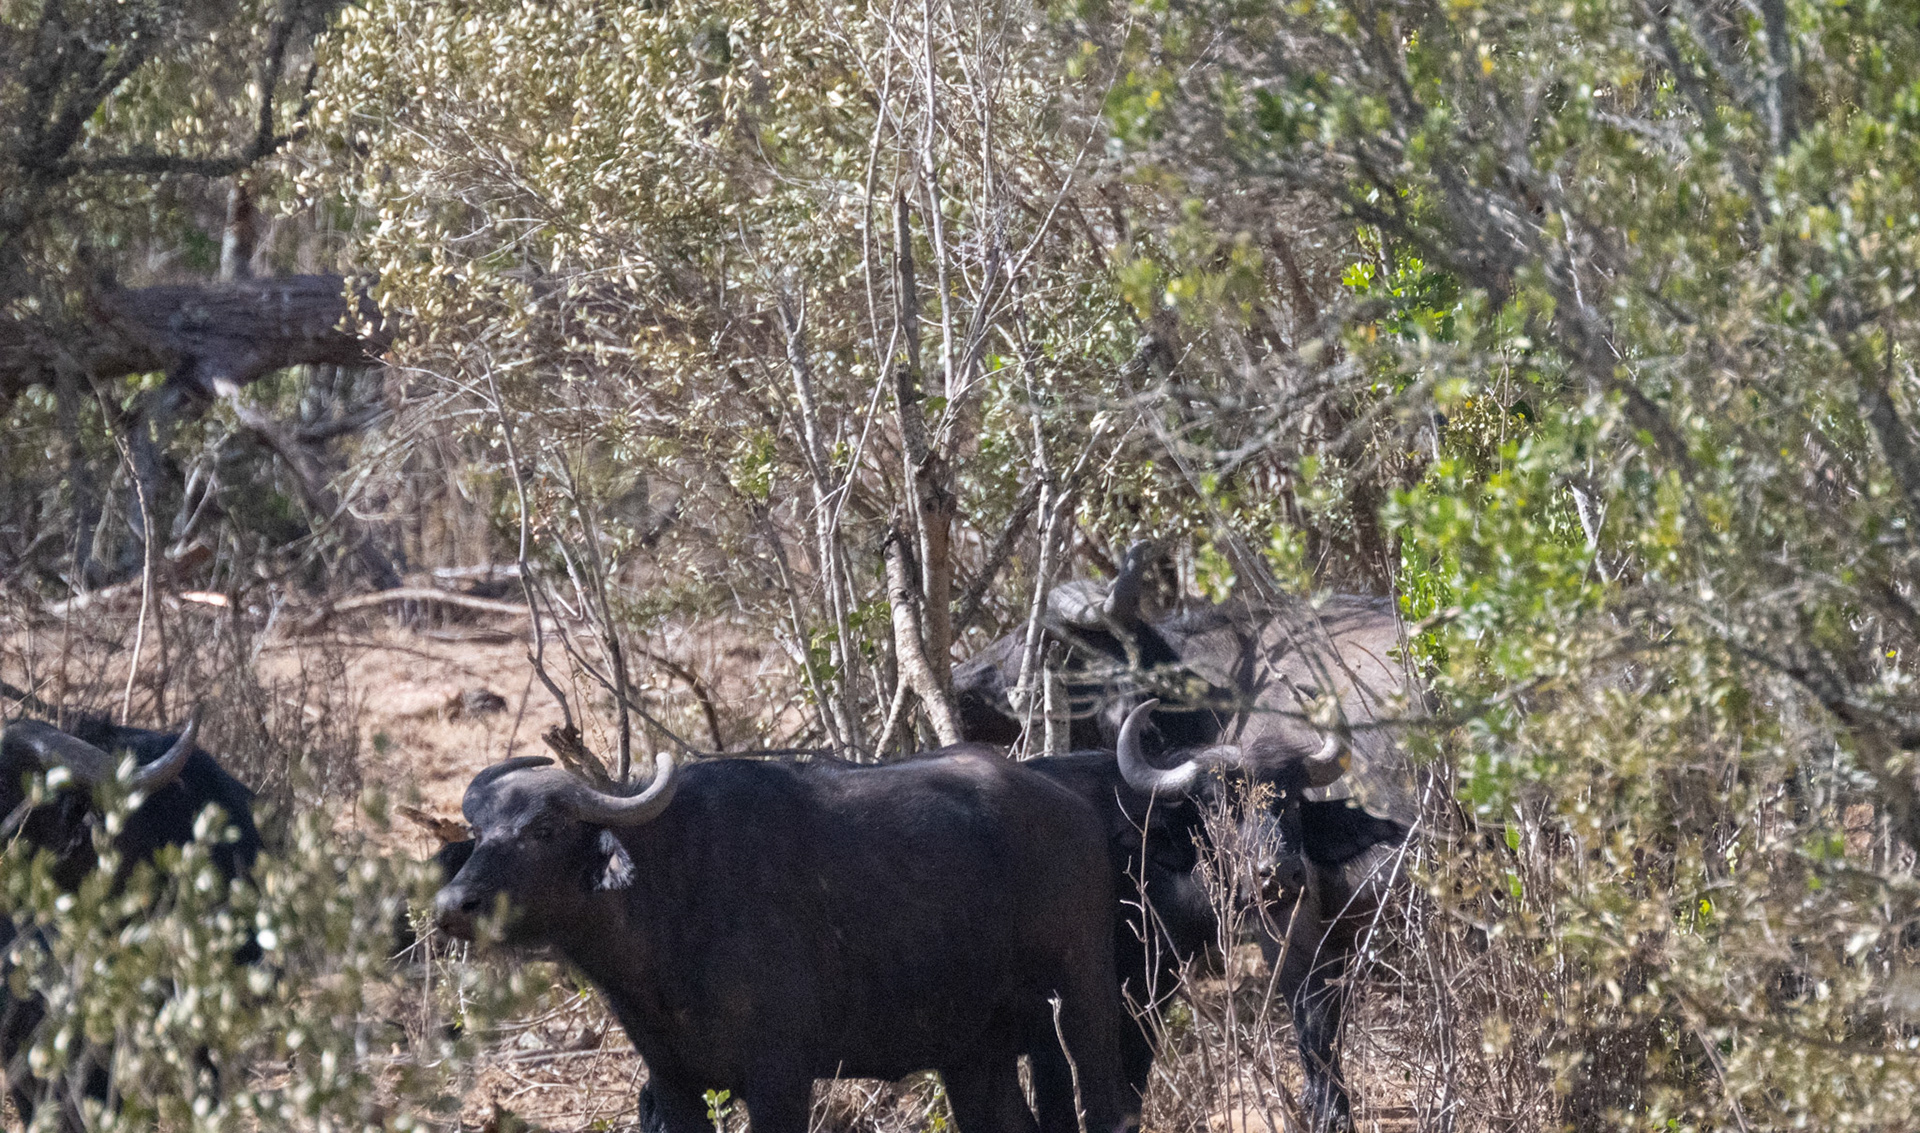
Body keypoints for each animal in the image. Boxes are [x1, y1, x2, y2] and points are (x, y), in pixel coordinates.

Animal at [434, 747, 1133, 1133]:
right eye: (482, 830)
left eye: (546, 829)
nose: (453, 906)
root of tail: (1075, 809)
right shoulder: (675, 1083)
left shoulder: (780, 1078)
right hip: (973, 1051)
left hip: (1084, 999)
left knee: (1108, 1104)